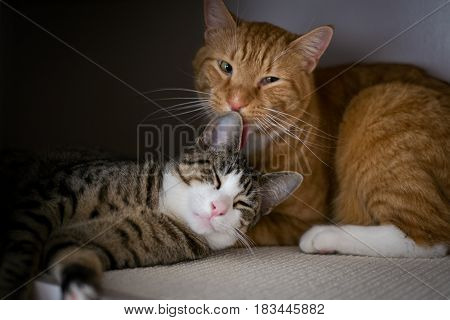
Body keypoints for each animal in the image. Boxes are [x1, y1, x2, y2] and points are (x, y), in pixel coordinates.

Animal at [0, 113, 302, 300]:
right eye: (216, 176)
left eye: (241, 203)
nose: (218, 207)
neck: (155, 206)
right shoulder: (51, 195)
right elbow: (22, 247)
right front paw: (13, 288)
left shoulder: (111, 239)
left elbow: (71, 252)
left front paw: (80, 285)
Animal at [192, 0, 448, 256]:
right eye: (226, 67)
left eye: (270, 80)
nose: (236, 102)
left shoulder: (299, 220)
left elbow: (236, 229)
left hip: (375, 102)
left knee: (428, 238)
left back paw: (324, 237)